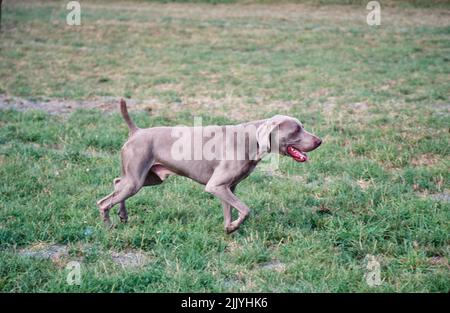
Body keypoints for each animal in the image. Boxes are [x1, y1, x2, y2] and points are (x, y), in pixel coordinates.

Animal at [96, 98, 322, 233]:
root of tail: (136, 131)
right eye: (296, 130)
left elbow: (230, 209)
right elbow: (246, 209)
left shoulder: (227, 187)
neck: (252, 141)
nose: (320, 141)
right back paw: (109, 227)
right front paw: (233, 227)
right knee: (103, 202)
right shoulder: (216, 185)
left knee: (117, 182)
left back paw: (123, 215)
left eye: (302, 126)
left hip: (148, 178)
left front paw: (228, 228)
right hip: (137, 179)